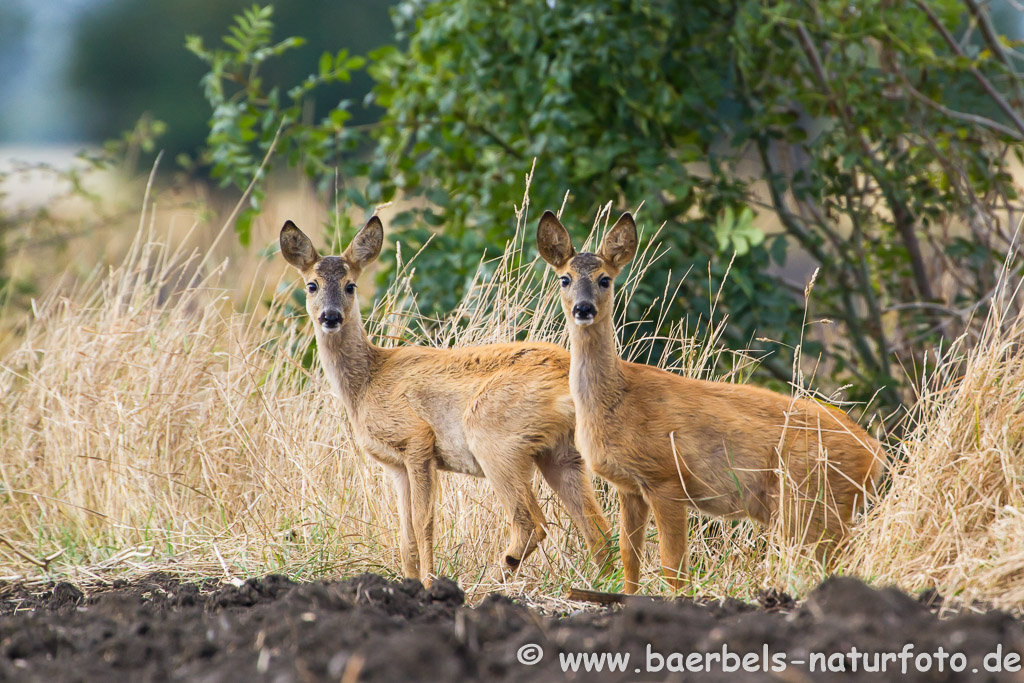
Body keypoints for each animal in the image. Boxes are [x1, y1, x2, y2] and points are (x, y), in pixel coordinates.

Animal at [280, 216, 610, 585]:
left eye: (351, 285)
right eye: (312, 285)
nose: (331, 316)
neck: (367, 382)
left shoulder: (416, 438)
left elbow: (423, 522)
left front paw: (426, 582)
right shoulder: (395, 465)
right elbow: (405, 532)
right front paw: (408, 582)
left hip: (495, 438)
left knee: (531, 523)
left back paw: (487, 583)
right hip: (560, 452)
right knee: (597, 528)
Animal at [540, 209, 884, 593]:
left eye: (604, 280)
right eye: (565, 278)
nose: (583, 309)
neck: (617, 399)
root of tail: (875, 454)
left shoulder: (666, 476)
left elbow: (673, 566)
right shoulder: (628, 486)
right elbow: (629, 559)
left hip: (813, 499)